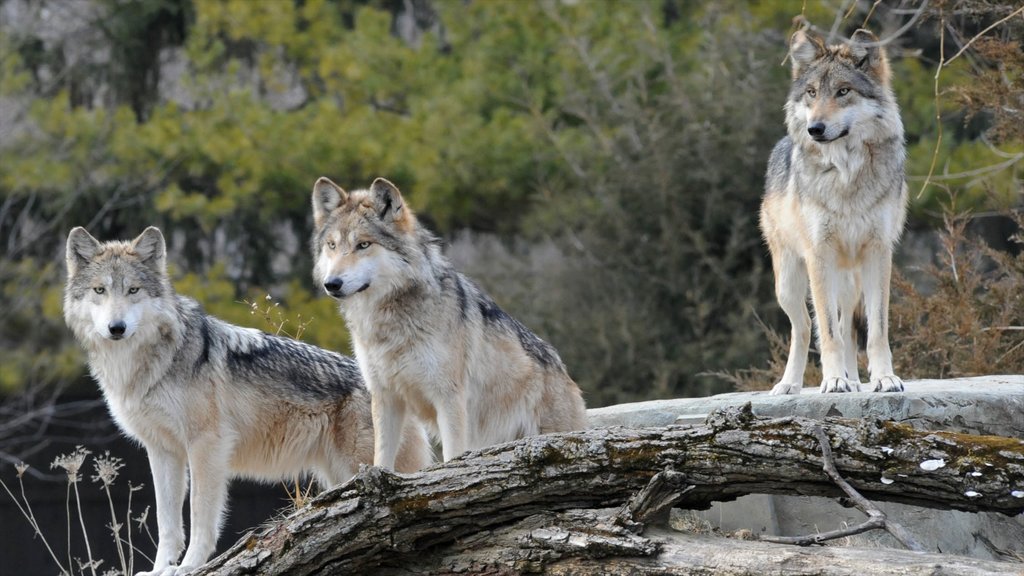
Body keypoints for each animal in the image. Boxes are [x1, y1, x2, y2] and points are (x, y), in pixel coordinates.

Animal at [62, 226, 432, 569]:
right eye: (100, 290)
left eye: (133, 290)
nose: (116, 328)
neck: (148, 364)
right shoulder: (163, 450)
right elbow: (167, 525)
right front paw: (161, 571)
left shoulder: (206, 446)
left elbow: (200, 518)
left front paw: (190, 567)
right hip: (339, 478)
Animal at [309, 177, 585, 469]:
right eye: (332, 245)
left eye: (363, 245)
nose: (332, 283)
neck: (389, 321)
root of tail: (562, 368)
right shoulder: (386, 398)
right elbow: (381, 456)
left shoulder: (449, 399)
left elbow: (453, 456)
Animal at [757, 28, 909, 393]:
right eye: (812, 93)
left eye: (843, 91)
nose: (815, 128)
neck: (846, 174)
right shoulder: (819, 254)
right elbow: (825, 331)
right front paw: (834, 380)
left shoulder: (879, 253)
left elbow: (876, 330)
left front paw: (883, 378)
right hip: (789, 284)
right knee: (802, 329)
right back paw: (790, 384)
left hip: (850, 282)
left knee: (847, 328)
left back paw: (855, 381)